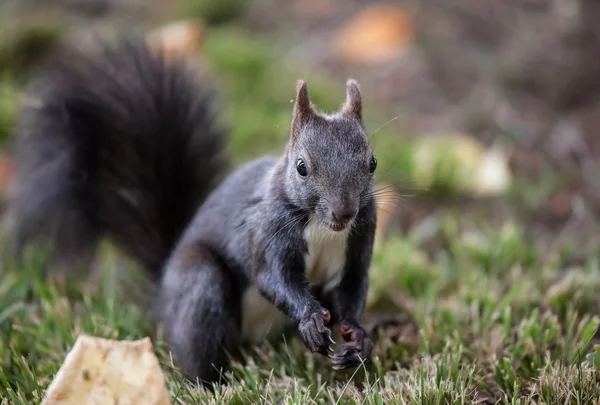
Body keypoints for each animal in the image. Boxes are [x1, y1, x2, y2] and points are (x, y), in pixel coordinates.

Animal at [10, 35, 380, 386]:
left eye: (372, 163)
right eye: (302, 167)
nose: (343, 213)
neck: (320, 227)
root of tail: (162, 295)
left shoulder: (361, 237)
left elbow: (352, 287)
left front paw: (357, 336)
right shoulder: (267, 228)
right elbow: (271, 275)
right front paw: (311, 318)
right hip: (200, 281)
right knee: (198, 345)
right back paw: (209, 384)